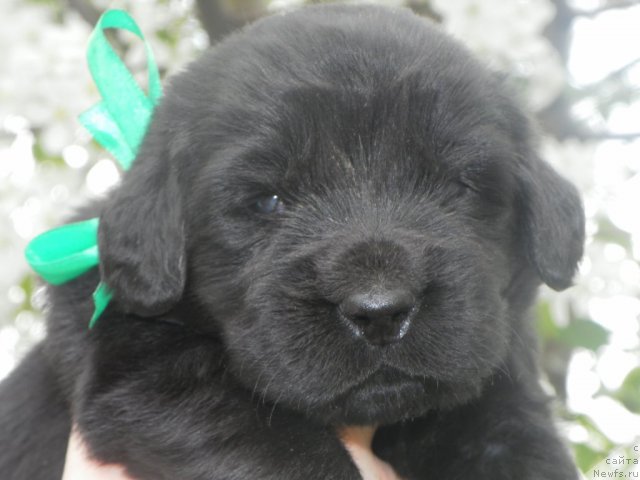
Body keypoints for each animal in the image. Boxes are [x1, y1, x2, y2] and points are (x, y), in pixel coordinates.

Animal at [0, 4, 584, 480]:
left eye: (456, 185)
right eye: (267, 201)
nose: (381, 311)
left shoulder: (502, 398)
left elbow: (520, 445)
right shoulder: (138, 379)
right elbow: (286, 453)